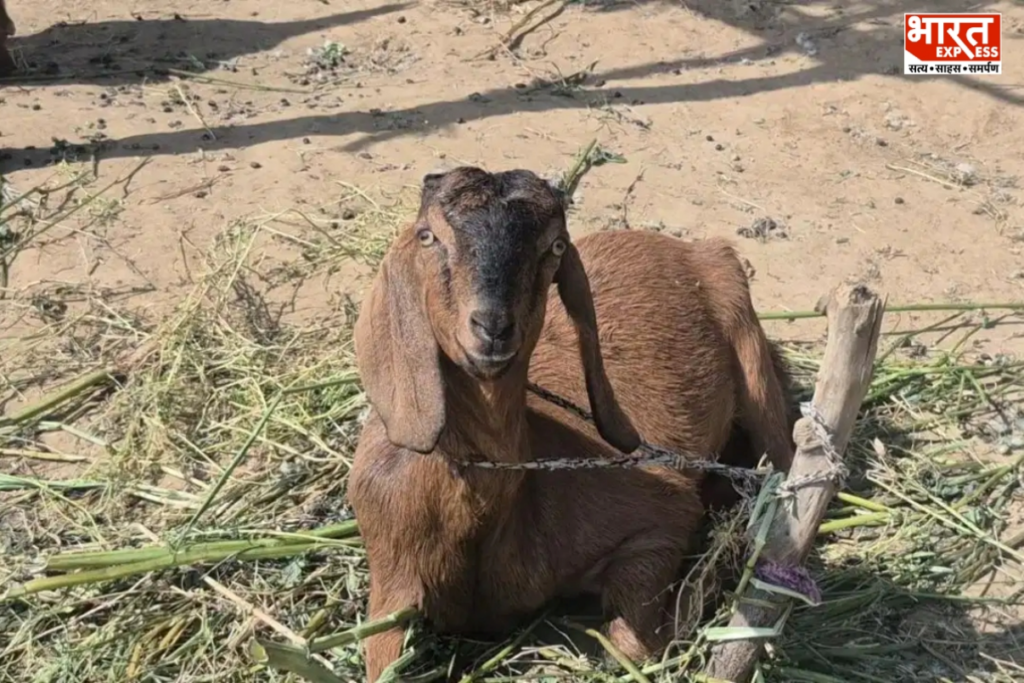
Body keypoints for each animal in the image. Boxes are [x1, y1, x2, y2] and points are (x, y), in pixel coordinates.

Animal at [347, 166, 795, 682]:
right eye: (428, 236)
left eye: (555, 247)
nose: (492, 327)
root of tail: (694, 248)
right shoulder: (391, 578)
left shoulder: (660, 520)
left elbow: (633, 643)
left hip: (750, 349)